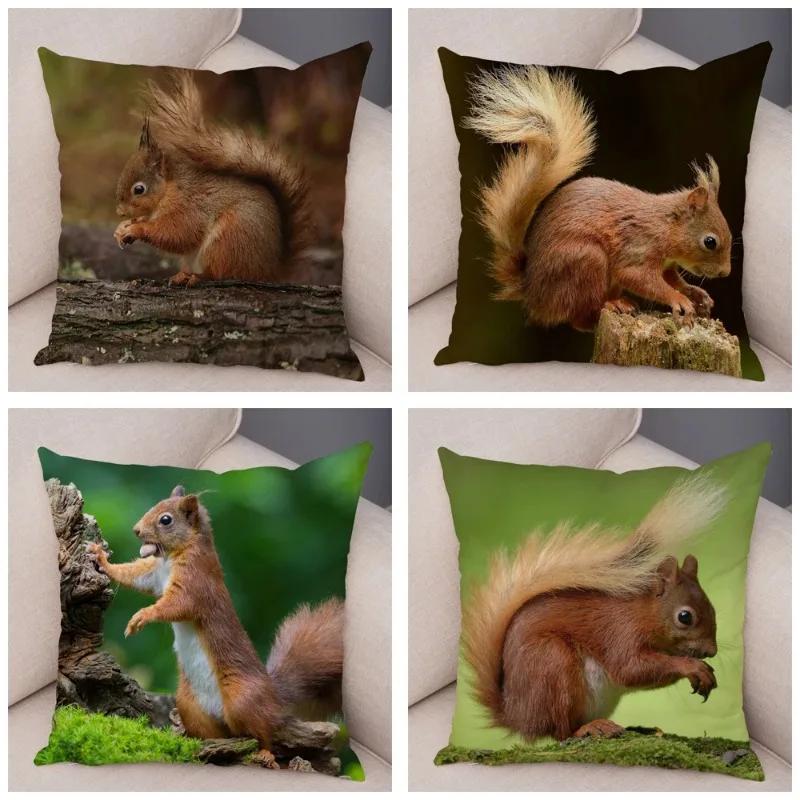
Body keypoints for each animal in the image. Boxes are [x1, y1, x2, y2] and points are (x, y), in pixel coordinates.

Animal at [86, 486, 343, 769]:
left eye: (166, 520)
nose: (136, 530)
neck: (174, 557)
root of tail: (273, 695)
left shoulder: (194, 584)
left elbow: (175, 606)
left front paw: (141, 617)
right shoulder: (153, 575)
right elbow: (133, 575)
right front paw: (101, 559)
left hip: (242, 699)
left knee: (265, 731)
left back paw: (265, 753)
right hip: (189, 706)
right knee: (219, 733)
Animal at [113, 70, 314, 286]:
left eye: (139, 189)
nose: (120, 212)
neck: (169, 189)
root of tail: (270, 271)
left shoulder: (189, 206)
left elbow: (178, 233)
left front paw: (137, 228)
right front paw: (122, 227)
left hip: (229, 238)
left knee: (220, 273)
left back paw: (195, 277)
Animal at [461, 474, 726, 741]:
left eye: (713, 609)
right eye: (685, 617)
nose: (711, 651)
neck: (642, 613)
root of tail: (518, 716)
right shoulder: (620, 633)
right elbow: (630, 668)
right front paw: (691, 667)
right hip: (552, 664)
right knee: (561, 732)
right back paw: (588, 728)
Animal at [462, 66, 733, 331]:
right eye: (710, 242)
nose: (725, 273)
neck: (665, 224)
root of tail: (533, 294)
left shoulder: (666, 264)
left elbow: (671, 279)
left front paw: (696, 294)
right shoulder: (639, 246)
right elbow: (640, 278)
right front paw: (679, 299)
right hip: (586, 261)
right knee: (582, 318)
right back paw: (613, 304)